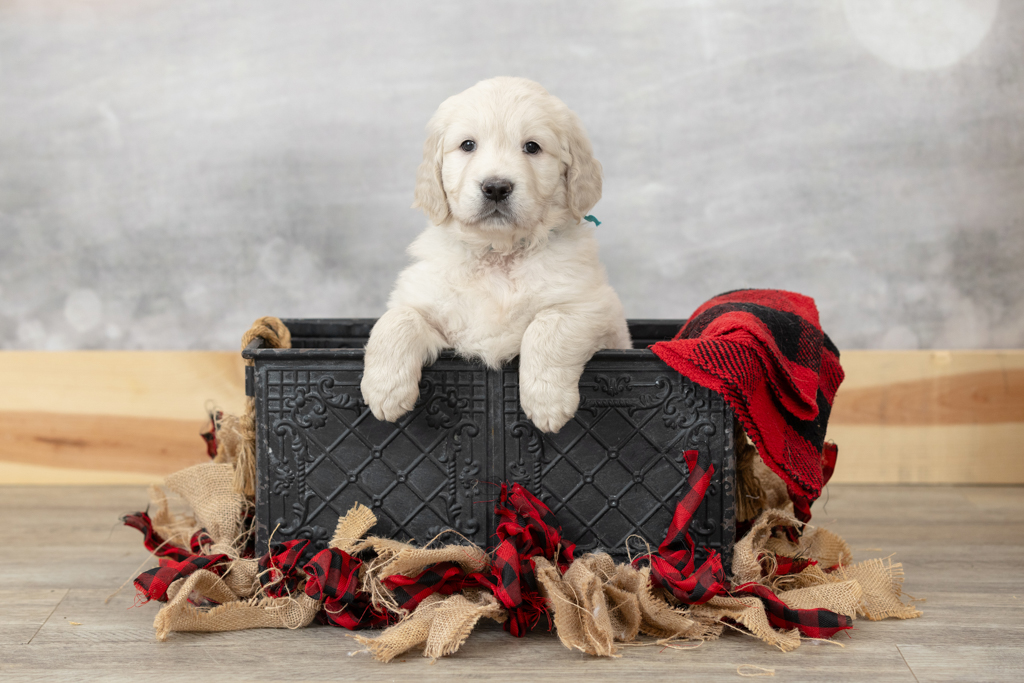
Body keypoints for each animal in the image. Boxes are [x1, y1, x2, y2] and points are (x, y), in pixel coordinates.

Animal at [360, 77, 631, 433]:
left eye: (532, 147)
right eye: (467, 145)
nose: (496, 188)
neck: (499, 253)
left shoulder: (593, 307)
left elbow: (547, 327)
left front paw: (547, 402)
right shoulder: (433, 312)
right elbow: (396, 319)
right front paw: (385, 390)